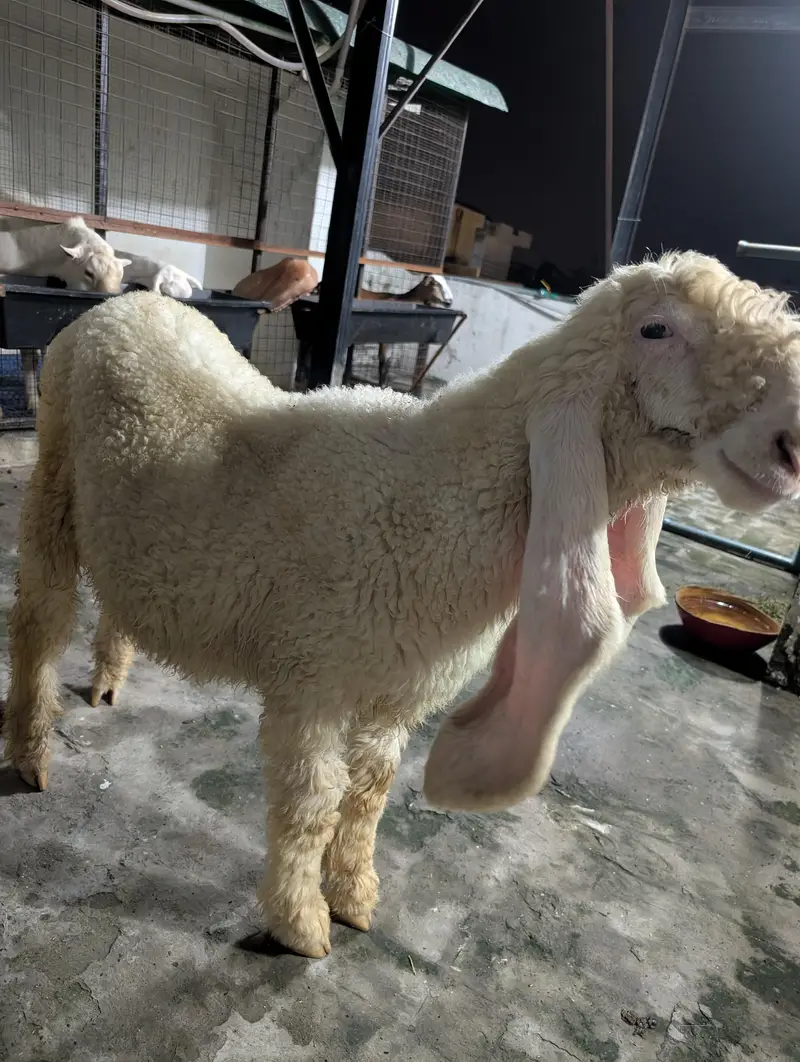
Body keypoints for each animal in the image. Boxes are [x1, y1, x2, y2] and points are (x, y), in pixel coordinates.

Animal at [4, 251, 800, 961]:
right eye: (656, 329)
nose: (791, 444)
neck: (433, 497)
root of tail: (136, 303)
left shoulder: (397, 691)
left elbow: (369, 793)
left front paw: (355, 895)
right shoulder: (310, 680)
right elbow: (310, 804)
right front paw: (299, 924)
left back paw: (109, 678)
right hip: (51, 482)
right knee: (40, 623)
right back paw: (31, 754)